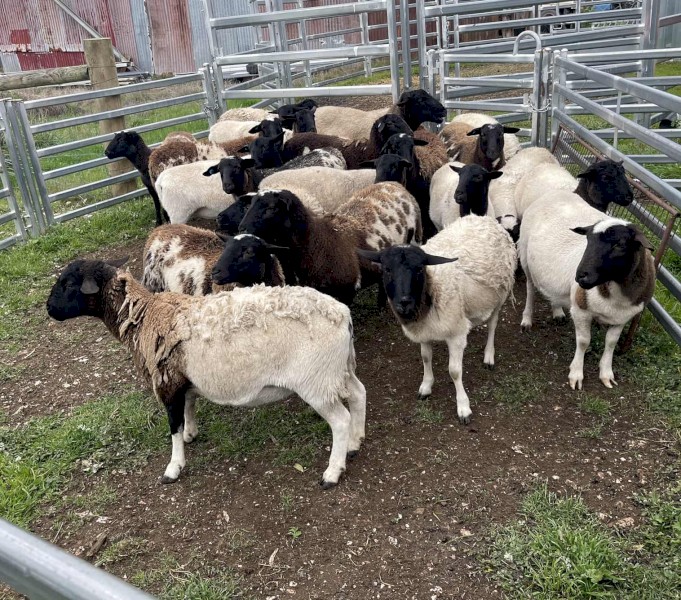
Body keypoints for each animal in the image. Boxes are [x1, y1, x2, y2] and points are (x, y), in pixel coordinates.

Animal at [46, 259, 366, 488]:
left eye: (67, 283)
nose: (49, 309)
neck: (144, 316)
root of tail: (343, 315)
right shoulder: (180, 381)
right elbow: (188, 407)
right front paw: (191, 434)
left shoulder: (166, 384)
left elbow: (173, 426)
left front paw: (173, 467)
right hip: (339, 370)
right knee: (359, 394)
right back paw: (355, 443)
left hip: (317, 381)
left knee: (340, 420)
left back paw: (332, 472)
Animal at [358, 215, 517, 424]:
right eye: (387, 269)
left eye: (419, 269)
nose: (404, 302)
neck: (431, 289)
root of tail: (486, 219)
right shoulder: (424, 332)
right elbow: (426, 358)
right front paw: (426, 386)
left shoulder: (455, 334)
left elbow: (455, 371)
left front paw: (463, 407)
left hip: (499, 295)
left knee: (492, 324)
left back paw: (489, 356)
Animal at [518, 193, 655, 389]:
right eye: (588, 240)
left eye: (620, 245)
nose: (580, 276)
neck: (617, 294)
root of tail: (554, 193)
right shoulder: (580, 310)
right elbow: (583, 342)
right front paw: (576, 373)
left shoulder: (622, 318)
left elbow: (611, 343)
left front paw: (606, 373)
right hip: (525, 257)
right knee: (530, 289)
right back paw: (527, 319)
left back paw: (557, 311)